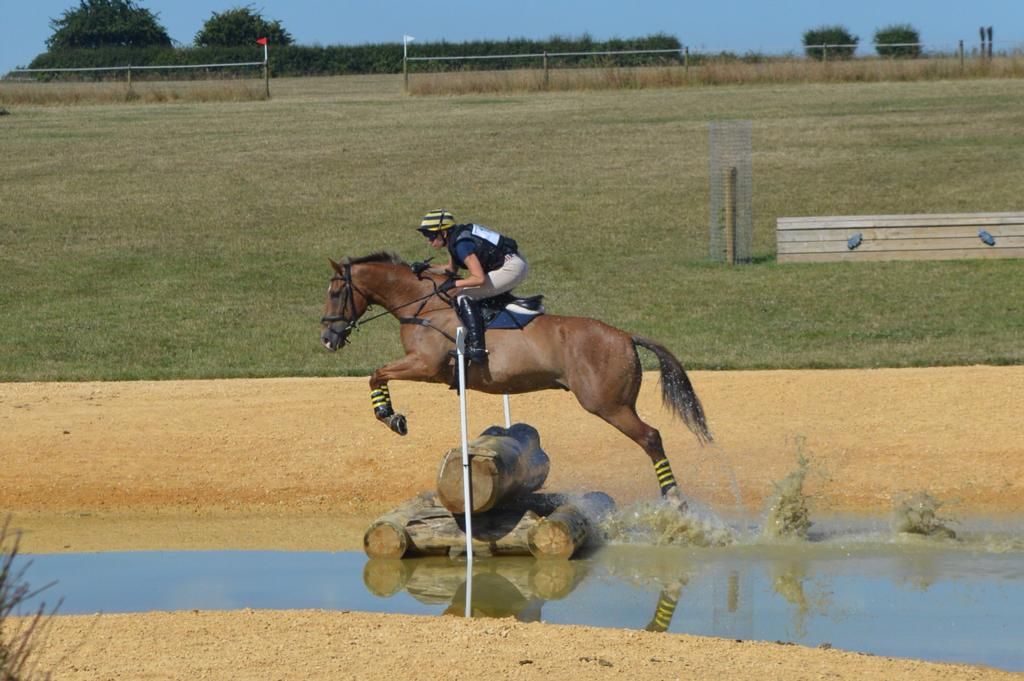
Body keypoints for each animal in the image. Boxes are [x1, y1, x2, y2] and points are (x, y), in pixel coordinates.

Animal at [321, 251, 712, 497]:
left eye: (336, 292)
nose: (327, 338)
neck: (422, 304)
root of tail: (625, 336)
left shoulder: (425, 365)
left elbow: (376, 374)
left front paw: (391, 416)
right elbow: (377, 375)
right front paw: (391, 415)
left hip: (608, 405)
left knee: (650, 437)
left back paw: (675, 499)